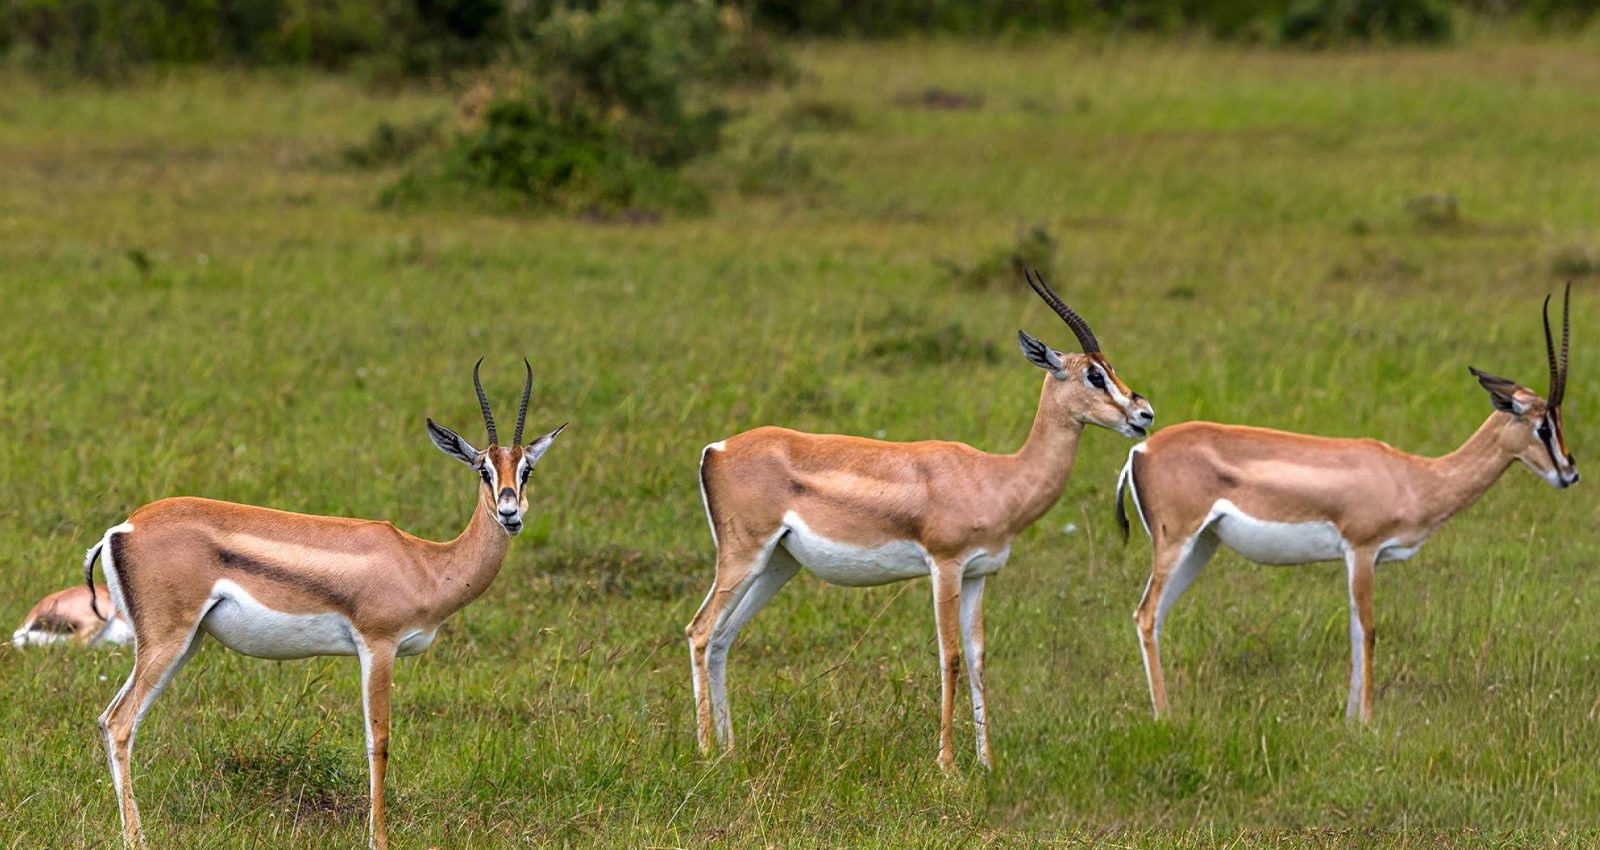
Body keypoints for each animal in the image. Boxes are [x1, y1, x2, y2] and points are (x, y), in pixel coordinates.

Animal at [86, 361, 564, 850]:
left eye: (526, 470)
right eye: (483, 470)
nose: (510, 513)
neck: (426, 564)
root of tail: (122, 529)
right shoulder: (378, 645)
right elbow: (378, 741)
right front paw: (378, 840)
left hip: (187, 642)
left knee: (111, 721)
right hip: (168, 640)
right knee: (120, 723)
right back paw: (136, 839)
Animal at [687, 270, 1155, 772]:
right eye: (1094, 374)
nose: (1144, 413)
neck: (997, 476)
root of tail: (716, 449)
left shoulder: (978, 575)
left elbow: (978, 660)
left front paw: (987, 763)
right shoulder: (945, 566)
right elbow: (949, 656)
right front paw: (947, 765)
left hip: (777, 564)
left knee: (723, 638)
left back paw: (730, 751)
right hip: (743, 555)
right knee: (700, 631)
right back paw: (706, 749)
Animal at [1117, 287, 1577, 724]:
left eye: (1558, 422)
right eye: (1543, 426)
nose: (1570, 473)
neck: (1416, 477)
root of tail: (1141, 449)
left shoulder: (1361, 559)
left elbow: (1357, 631)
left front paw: (1351, 721)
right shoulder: (1362, 550)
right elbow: (1368, 630)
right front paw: (1367, 722)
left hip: (1202, 546)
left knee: (1155, 617)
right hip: (1177, 543)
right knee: (1145, 614)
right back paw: (1165, 717)